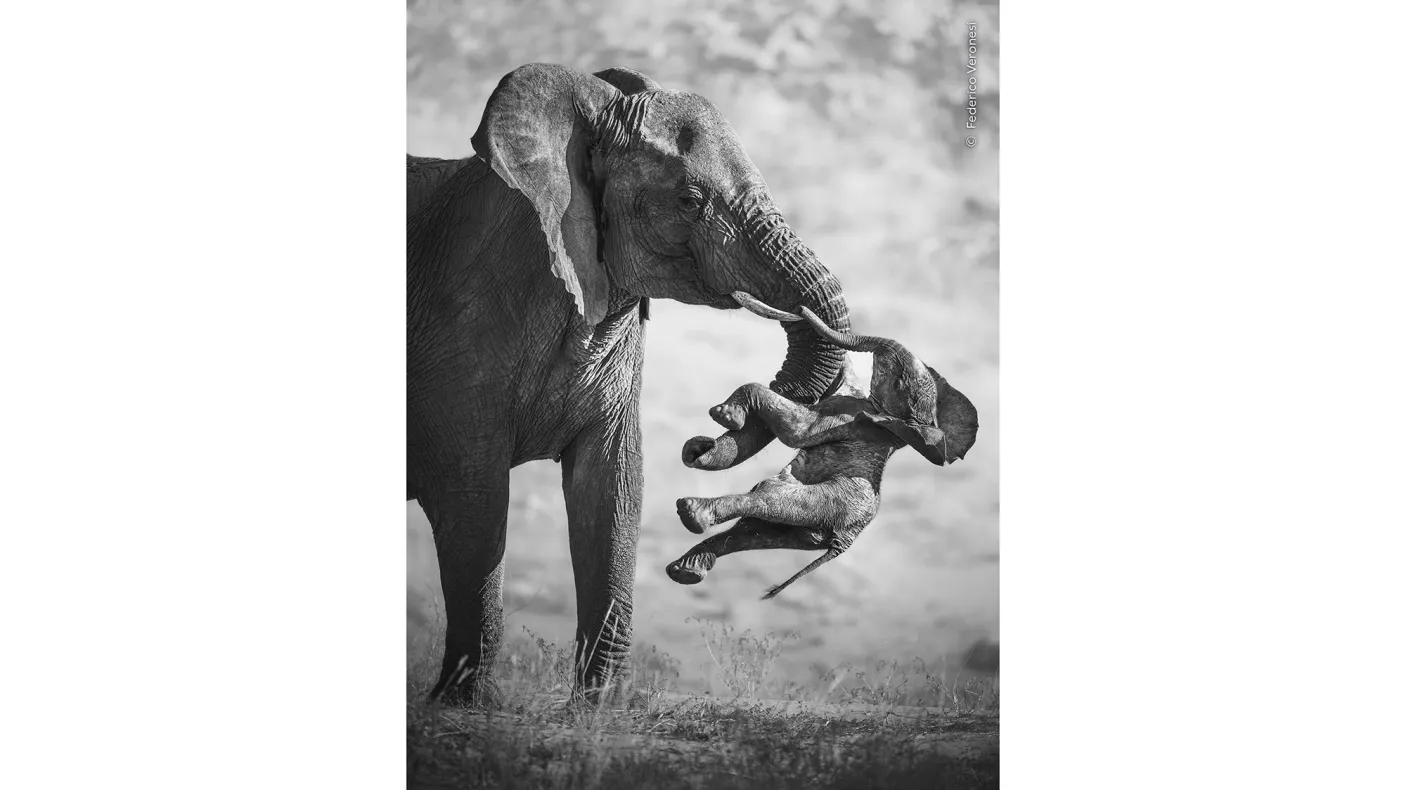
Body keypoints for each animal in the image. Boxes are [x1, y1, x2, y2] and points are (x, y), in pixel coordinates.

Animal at [407, 64, 853, 704]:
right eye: (689, 201)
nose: (707, 433)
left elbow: (612, 488)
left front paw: (600, 711)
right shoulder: (458, 333)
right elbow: (475, 501)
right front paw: (467, 707)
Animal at [668, 298, 978, 599]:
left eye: (899, 380)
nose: (799, 309)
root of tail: (843, 542)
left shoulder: (847, 417)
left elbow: (796, 431)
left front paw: (725, 416)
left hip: (828, 503)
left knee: (768, 498)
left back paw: (692, 513)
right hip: (808, 528)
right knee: (753, 531)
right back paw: (685, 569)